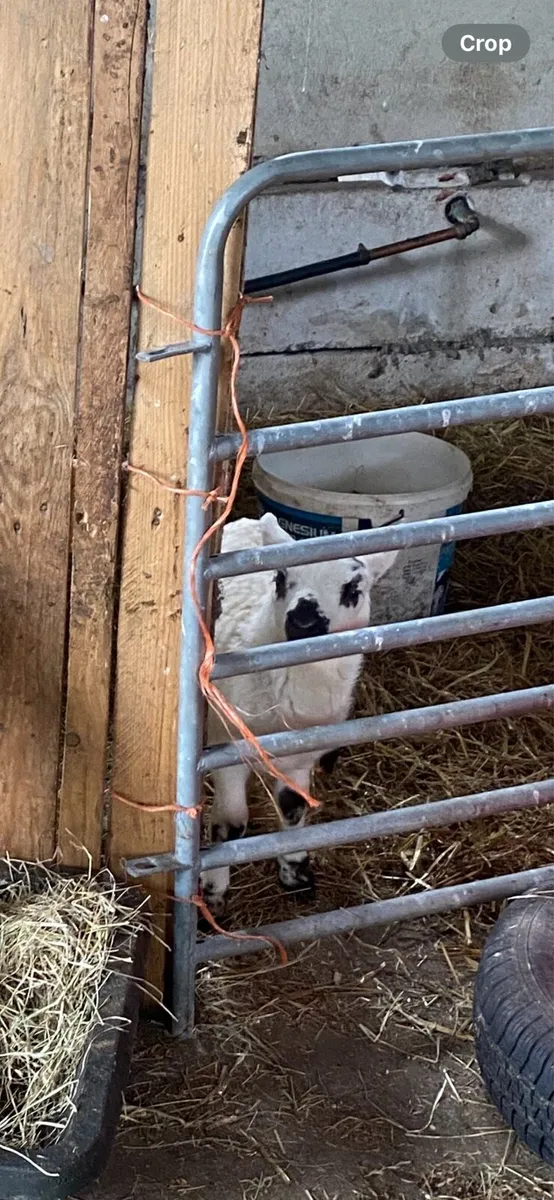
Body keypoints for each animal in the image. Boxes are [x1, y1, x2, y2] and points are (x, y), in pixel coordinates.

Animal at [202, 511, 398, 916]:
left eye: (353, 588)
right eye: (280, 578)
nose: (304, 620)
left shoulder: (299, 756)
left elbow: (293, 811)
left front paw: (295, 873)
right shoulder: (226, 745)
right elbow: (232, 824)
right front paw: (213, 892)